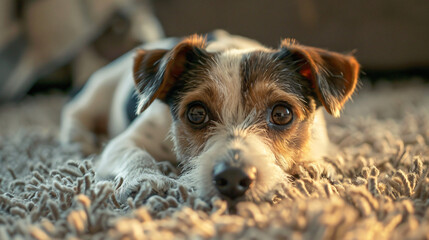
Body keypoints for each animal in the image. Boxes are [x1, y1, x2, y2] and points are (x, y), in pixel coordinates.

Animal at [61, 30, 358, 205]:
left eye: (282, 113)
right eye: (196, 113)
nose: (233, 178)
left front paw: (315, 167)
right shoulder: (122, 143)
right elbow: (135, 153)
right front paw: (144, 179)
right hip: (97, 90)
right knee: (74, 118)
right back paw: (79, 143)